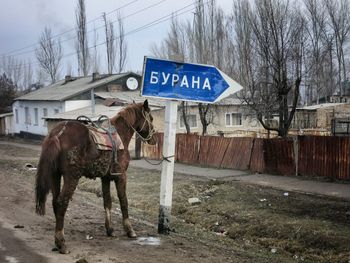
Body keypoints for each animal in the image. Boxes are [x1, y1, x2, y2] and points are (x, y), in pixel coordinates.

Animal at [35, 100, 156, 255]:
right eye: (150, 118)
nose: (153, 139)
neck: (120, 135)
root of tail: (58, 133)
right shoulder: (121, 176)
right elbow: (123, 201)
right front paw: (130, 230)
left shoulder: (105, 178)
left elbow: (107, 202)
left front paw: (110, 230)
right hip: (72, 177)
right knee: (62, 203)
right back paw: (62, 243)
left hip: (55, 176)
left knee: (55, 202)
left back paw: (57, 240)